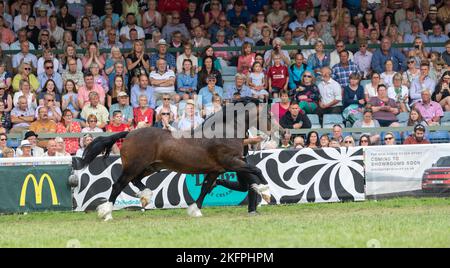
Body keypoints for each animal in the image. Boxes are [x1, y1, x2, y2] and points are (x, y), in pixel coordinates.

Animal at [81, 97, 278, 221]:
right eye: (268, 116)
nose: (278, 131)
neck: (224, 132)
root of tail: (129, 133)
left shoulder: (216, 170)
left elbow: (205, 188)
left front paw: (195, 210)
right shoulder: (232, 162)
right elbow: (257, 170)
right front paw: (265, 192)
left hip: (151, 167)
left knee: (135, 181)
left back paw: (145, 197)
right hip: (134, 166)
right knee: (118, 185)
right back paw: (106, 213)